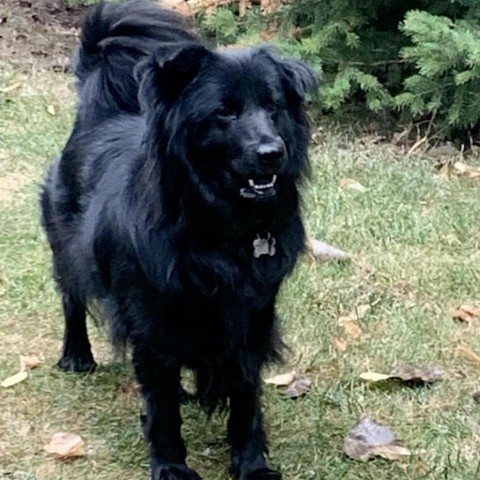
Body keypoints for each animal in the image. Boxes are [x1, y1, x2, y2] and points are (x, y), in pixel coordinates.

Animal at [41, 1, 316, 478]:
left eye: (274, 107)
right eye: (224, 112)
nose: (272, 153)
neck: (219, 229)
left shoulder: (253, 317)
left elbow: (246, 398)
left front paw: (251, 463)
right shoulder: (152, 322)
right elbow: (162, 406)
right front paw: (170, 465)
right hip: (65, 245)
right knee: (71, 297)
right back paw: (76, 355)